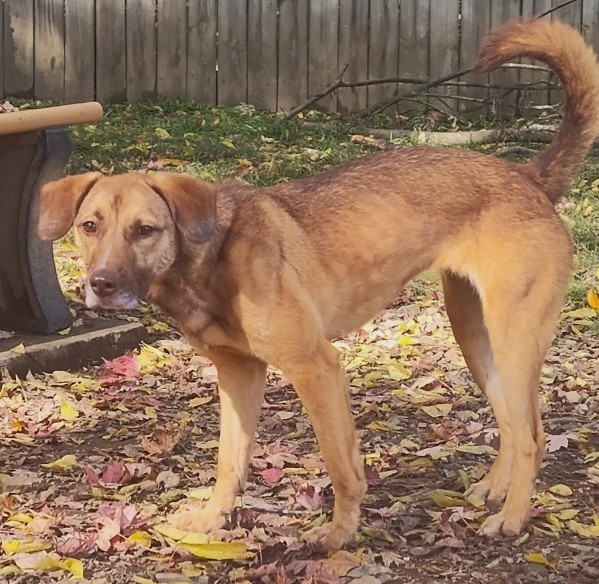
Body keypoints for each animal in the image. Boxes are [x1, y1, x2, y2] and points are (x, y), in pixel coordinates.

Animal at [37, 20, 599, 552]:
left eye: (145, 230)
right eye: (89, 227)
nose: (101, 284)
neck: (210, 260)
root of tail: (529, 177)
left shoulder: (316, 366)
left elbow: (340, 463)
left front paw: (339, 534)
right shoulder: (239, 375)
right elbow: (229, 462)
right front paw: (213, 520)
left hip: (513, 337)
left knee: (532, 436)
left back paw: (512, 518)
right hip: (474, 334)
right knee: (514, 422)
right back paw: (496, 489)